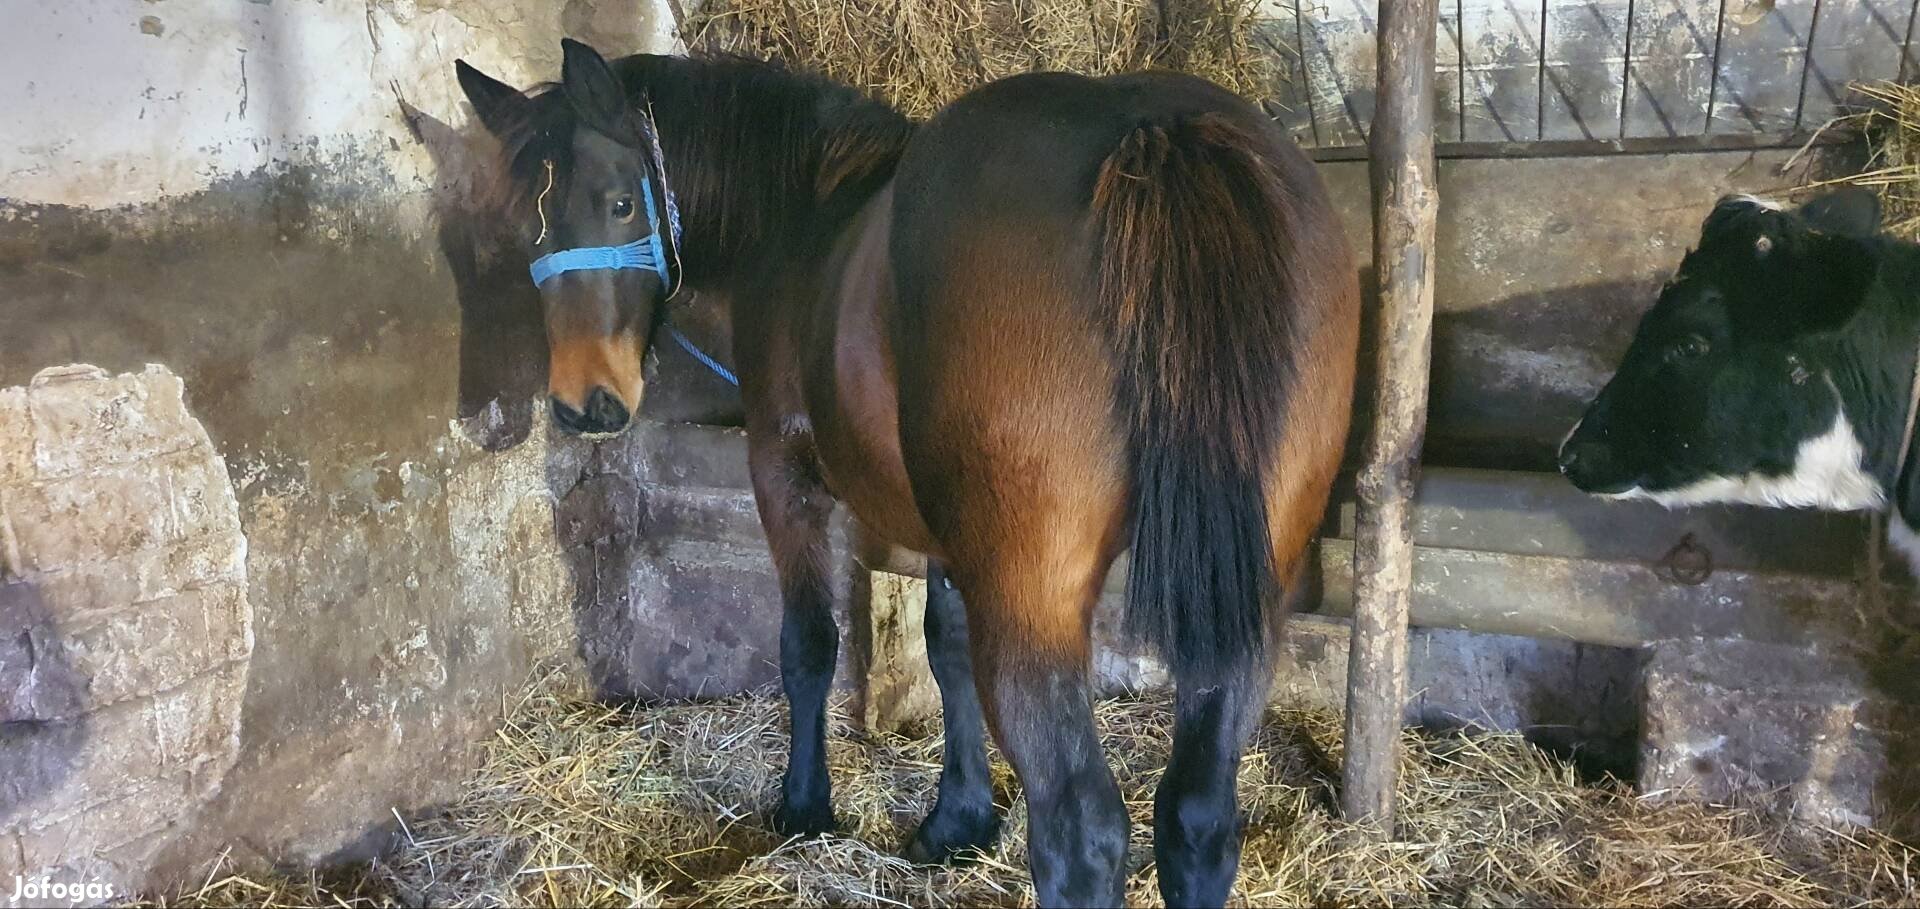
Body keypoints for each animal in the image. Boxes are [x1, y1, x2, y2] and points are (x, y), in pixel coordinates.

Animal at [455, 38, 1359, 903]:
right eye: (528, 228)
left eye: (619, 200)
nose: (584, 402)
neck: (807, 216)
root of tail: (1153, 134)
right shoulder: (948, 534)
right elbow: (944, 646)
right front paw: (959, 817)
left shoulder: (784, 473)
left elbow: (809, 644)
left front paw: (805, 806)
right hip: (1238, 606)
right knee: (1197, 819)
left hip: (1035, 599)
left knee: (1082, 834)